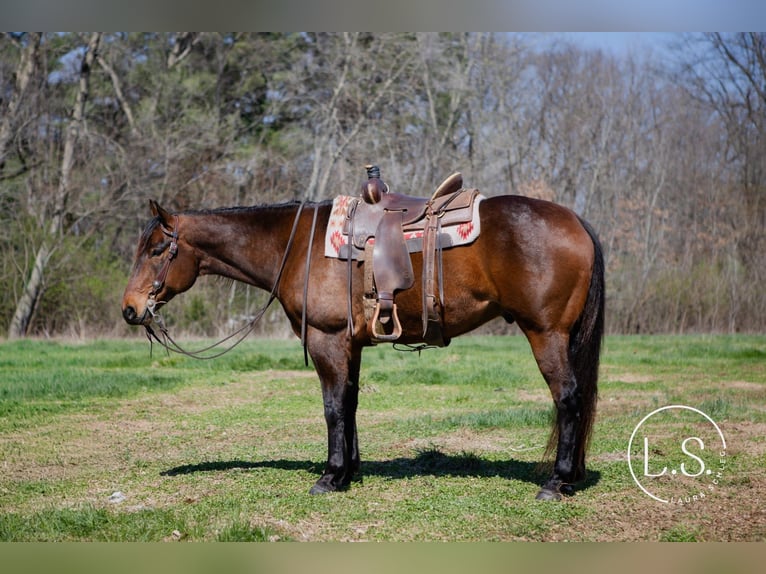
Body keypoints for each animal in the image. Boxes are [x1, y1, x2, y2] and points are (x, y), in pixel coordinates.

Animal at [121, 194, 605, 500]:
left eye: (158, 248)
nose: (130, 309)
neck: (295, 246)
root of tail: (576, 221)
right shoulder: (349, 345)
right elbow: (349, 403)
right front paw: (349, 470)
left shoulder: (327, 339)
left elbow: (333, 406)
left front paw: (330, 476)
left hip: (546, 335)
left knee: (568, 399)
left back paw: (557, 482)